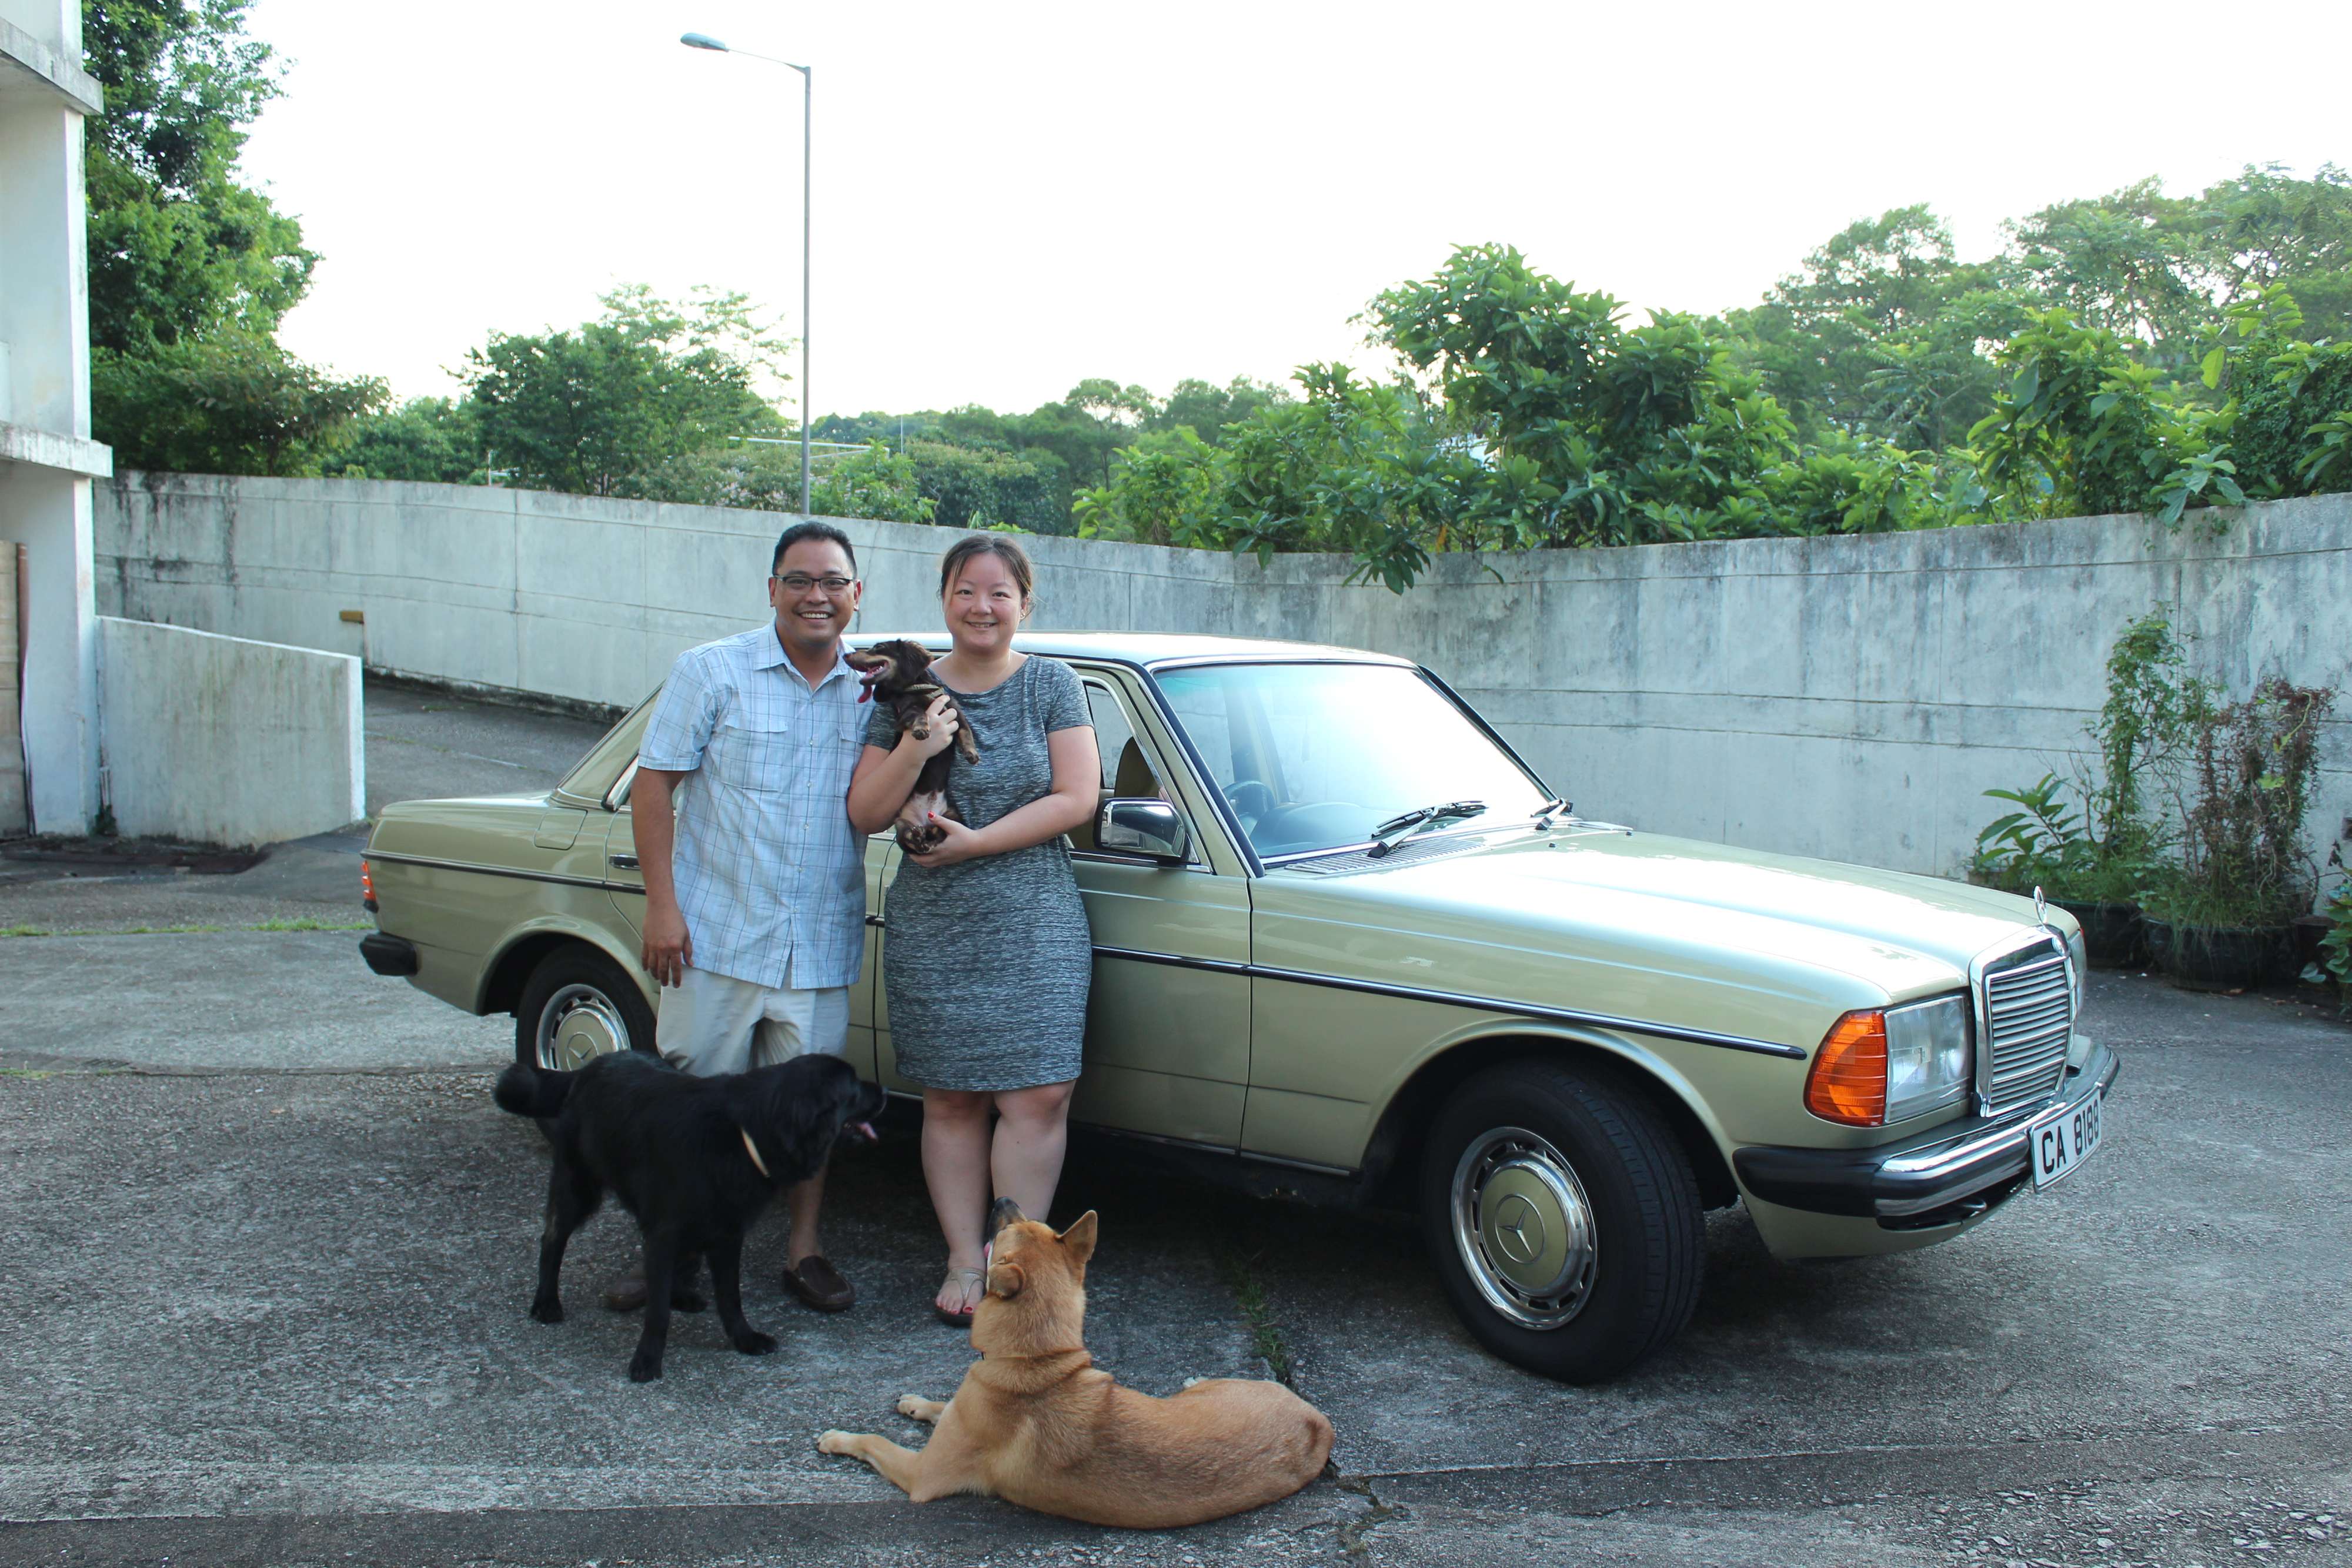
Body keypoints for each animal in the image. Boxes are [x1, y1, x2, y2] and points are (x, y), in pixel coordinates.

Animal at [492, 1053, 884, 1382]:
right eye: (853, 1087)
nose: (882, 1091)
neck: (745, 1131)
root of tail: (588, 1066)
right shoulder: (668, 1229)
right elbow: (658, 1312)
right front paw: (648, 1359)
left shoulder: (726, 1234)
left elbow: (730, 1298)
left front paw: (745, 1339)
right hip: (578, 1186)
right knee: (552, 1239)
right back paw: (546, 1302)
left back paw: (680, 1295)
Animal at [818, 1203, 1336, 1533]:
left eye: (1003, 1234)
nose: (1003, 1197)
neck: (1037, 1361)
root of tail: (1318, 1423)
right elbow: (942, 1406)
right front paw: (917, 1402)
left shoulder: (921, 1473)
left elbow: (874, 1440)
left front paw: (839, 1437)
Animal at [851, 639, 978, 860]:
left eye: (879, 648)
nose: (846, 656)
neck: (916, 688)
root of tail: (924, 820)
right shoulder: (906, 713)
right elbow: (919, 713)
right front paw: (921, 730)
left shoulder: (955, 712)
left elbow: (966, 731)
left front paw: (971, 753)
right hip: (901, 822)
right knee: (909, 840)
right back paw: (916, 836)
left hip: (953, 816)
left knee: (938, 834)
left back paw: (928, 836)